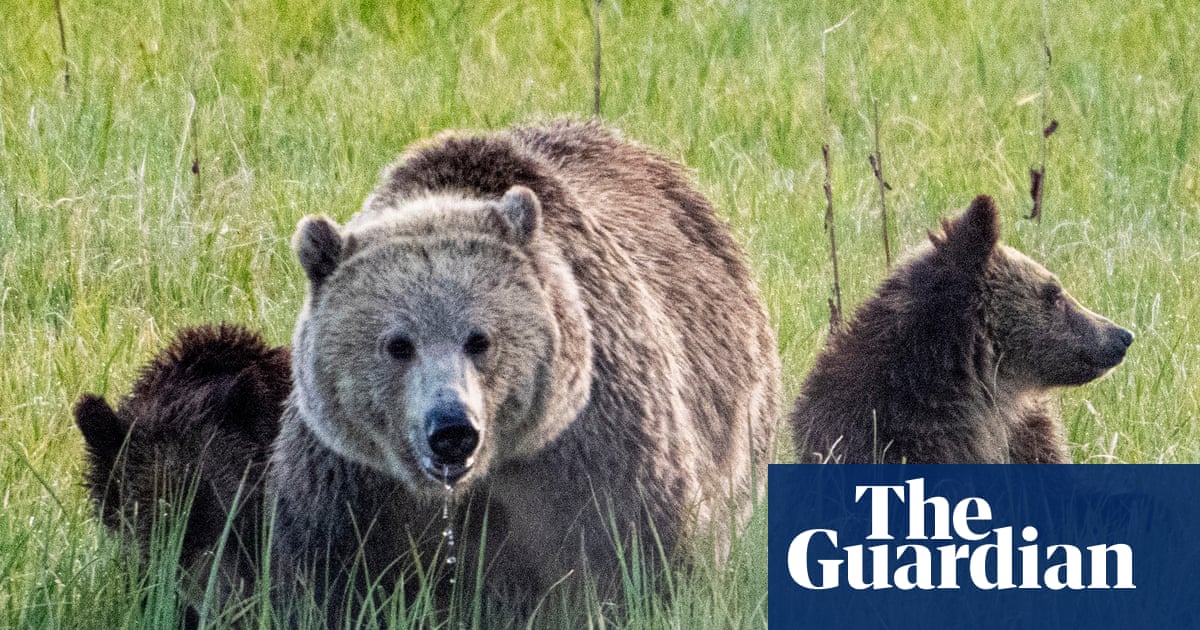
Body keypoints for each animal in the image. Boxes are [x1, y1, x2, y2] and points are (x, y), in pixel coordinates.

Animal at [269, 119, 780, 616]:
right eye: (398, 344)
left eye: (480, 339)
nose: (452, 429)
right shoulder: (353, 481)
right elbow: (327, 575)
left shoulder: (593, 447)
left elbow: (639, 551)